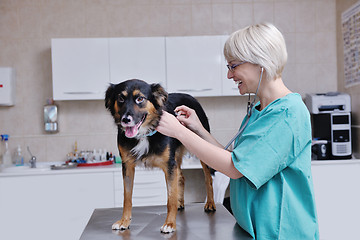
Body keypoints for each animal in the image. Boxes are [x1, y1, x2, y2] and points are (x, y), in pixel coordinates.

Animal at [105, 79, 215, 233]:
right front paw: (124, 221)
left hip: (200, 146)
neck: (144, 134)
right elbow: (127, 198)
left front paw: (170, 223)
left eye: (140, 99)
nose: (126, 119)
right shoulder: (127, 166)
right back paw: (181, 203)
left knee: (208, 178)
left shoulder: (169, 165)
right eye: (121, 98)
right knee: (181, 178)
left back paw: (210, 203)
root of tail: (190, 96)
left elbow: (170, 199)